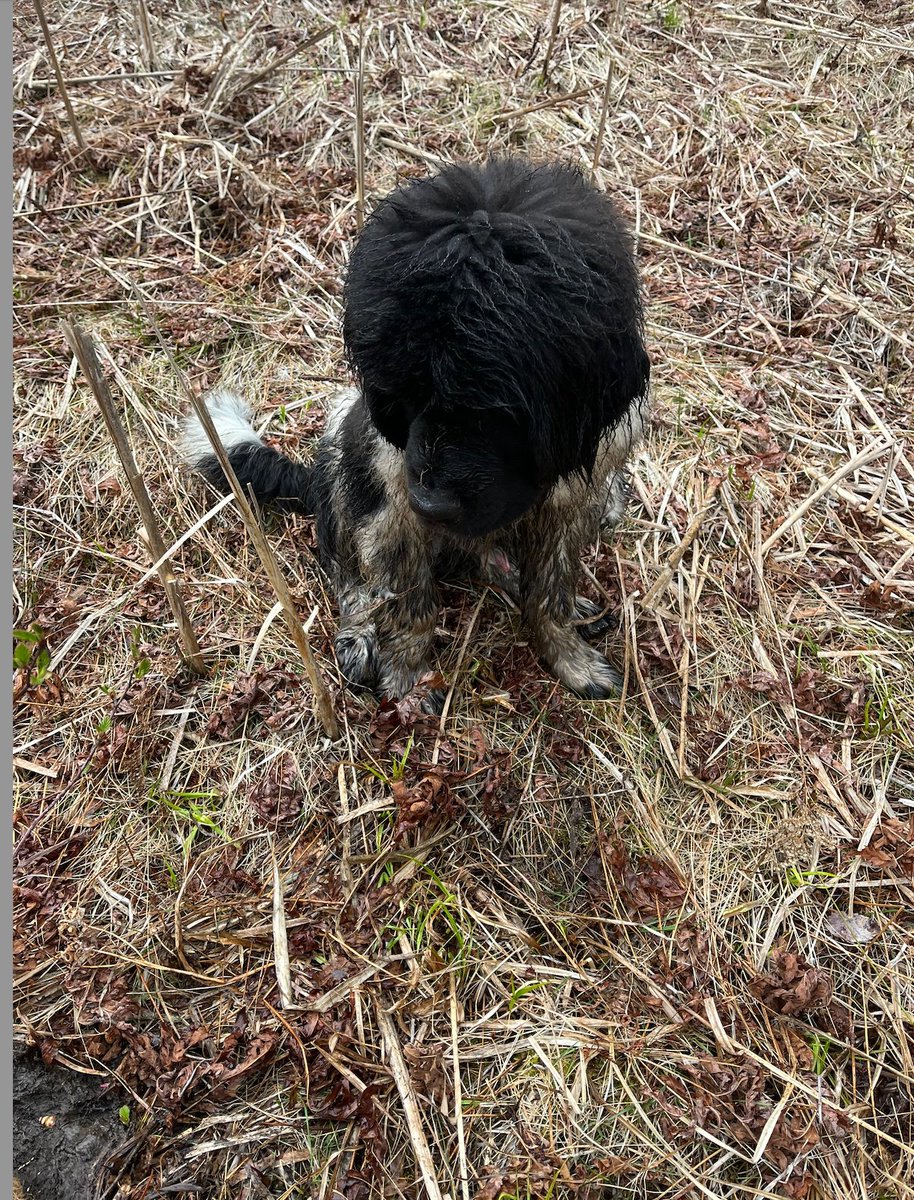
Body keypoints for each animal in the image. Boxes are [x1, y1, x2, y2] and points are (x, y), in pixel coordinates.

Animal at [179, 157, 647, 710]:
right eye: (404, 395)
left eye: (499, 408)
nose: (431, 505)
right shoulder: (394, 508)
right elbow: (411, 604)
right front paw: (407, 676)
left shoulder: (576, 497)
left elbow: (550, 593)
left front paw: (569, 656)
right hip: (342, 447)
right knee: (346, 572)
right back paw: (359, 632)